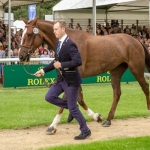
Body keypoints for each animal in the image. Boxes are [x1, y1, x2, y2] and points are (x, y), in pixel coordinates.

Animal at [18, 17, 150, 133]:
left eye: (29, 34)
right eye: (21, 34)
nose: (21, 56)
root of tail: (136, 40)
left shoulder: (74, 76)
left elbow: (70, 98)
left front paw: (53, 125)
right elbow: (77, 99)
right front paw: (86, 116)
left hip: (136, 70)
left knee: (145, 87)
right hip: (116, 72)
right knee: (117, 93)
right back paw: (108, 119)